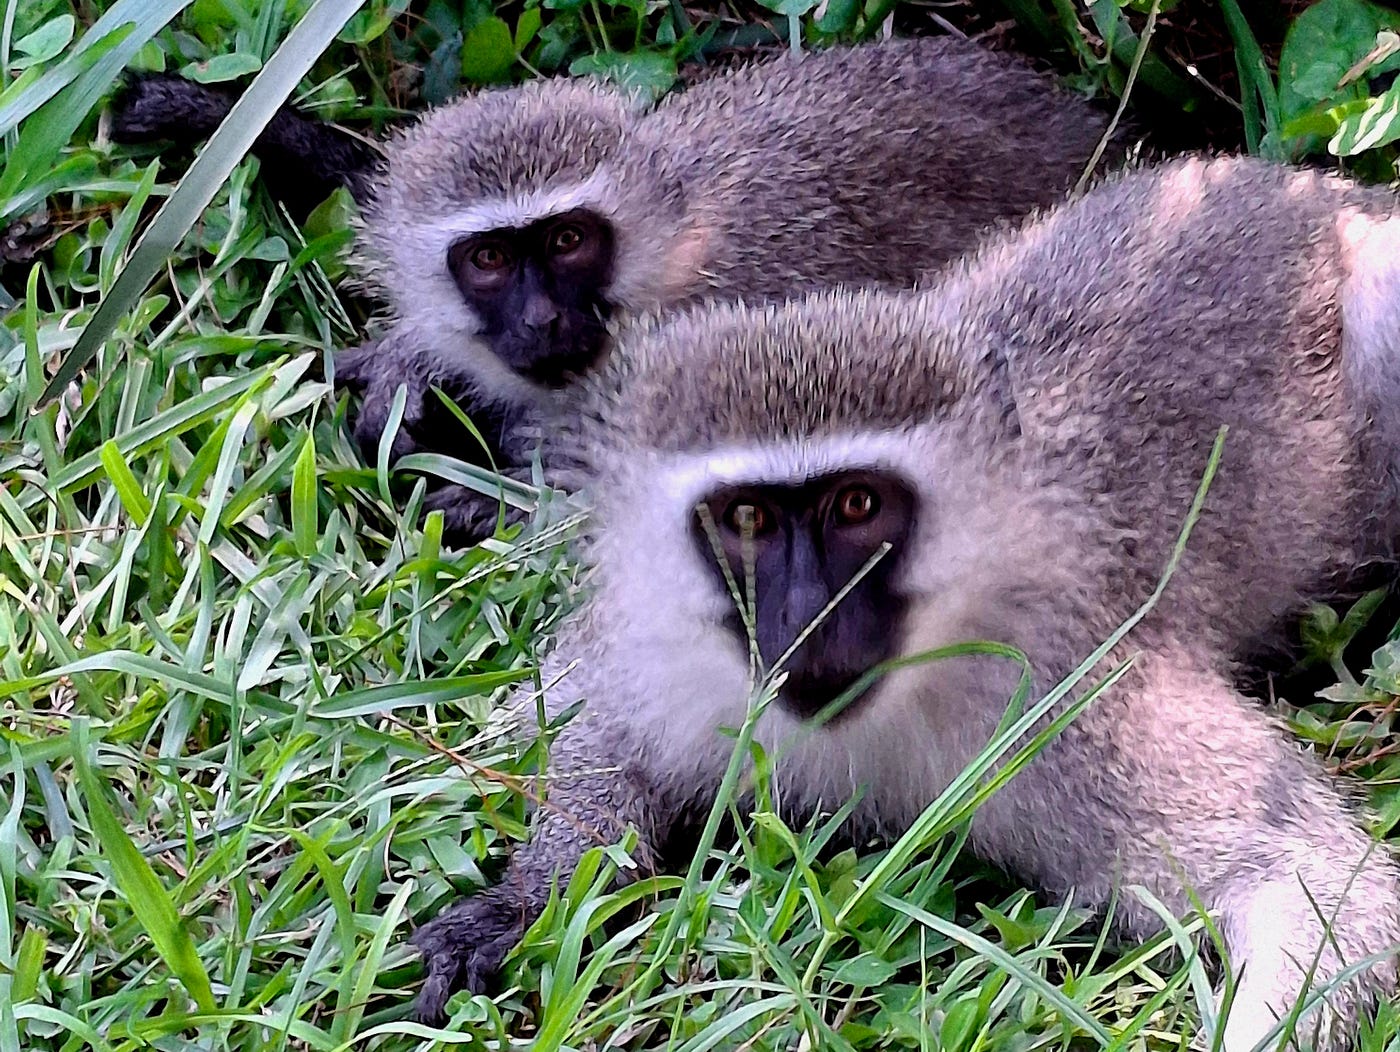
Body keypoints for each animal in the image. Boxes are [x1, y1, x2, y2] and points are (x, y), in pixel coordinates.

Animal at [408, 154, 1400, 1050]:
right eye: (748, 517)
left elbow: (1315, 878)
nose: (810, 615)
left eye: (857, 507)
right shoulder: (664, 648)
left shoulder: (1074, 701)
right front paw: (523, 900)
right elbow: (594, 732)